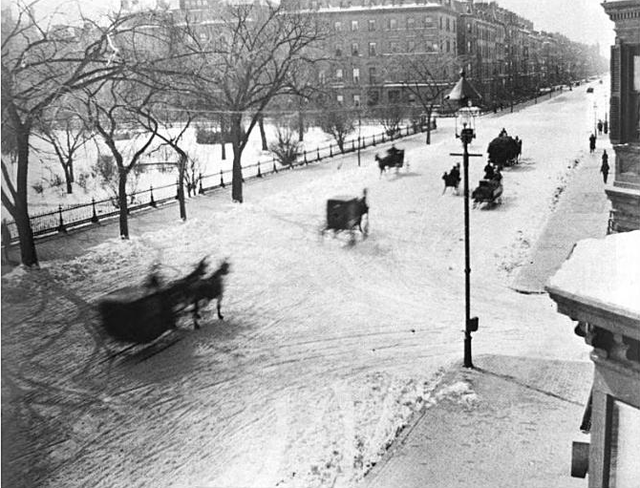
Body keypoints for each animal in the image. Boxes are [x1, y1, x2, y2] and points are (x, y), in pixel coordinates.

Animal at [99, 258, 231, 346]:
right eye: (227, 266)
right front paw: (218, 316)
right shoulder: (217, 296)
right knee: (186, 312)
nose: (229, 271)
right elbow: (216, 307)